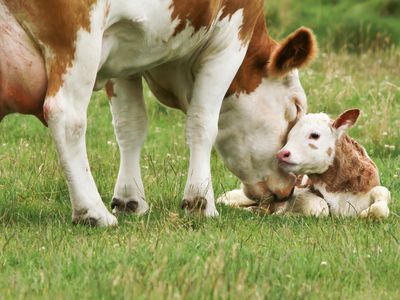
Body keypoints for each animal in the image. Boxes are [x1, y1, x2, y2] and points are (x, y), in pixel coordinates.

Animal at [1, 0, 318, 225]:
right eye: (296, 107)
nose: (290, 189)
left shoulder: (122, 58)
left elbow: (130, 126)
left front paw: (129, 199)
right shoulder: (231, 35)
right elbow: (203, 123)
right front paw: (200, 202)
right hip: (79, 38)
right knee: (67, 118)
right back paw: (93, 212)